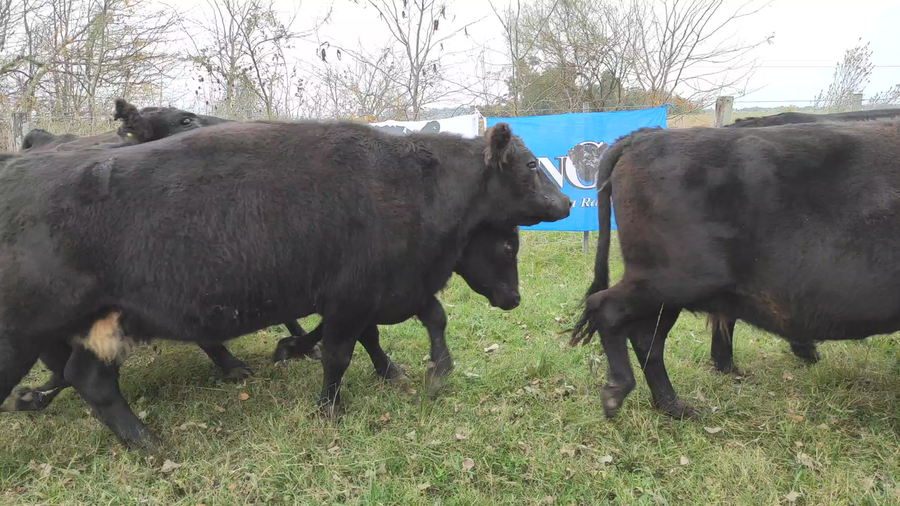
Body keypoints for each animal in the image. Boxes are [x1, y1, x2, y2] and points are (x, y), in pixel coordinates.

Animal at [0, 119, 570, 447]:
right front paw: (327, 408)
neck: (414, 181)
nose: (566, 201)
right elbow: (342, 352)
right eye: (531, 163)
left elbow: (418, 321)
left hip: (99, 325)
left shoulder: (379, 292)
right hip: (24, 335)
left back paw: (149, 443)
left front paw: (420, 370)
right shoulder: (352, 296)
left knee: (90, 380)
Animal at [571, 119, 900, 420]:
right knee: (607, 308)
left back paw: (674, 406)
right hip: (671, 280)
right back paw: (618, 391)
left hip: (669, 293)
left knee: (646, 337)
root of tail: (644, 136)